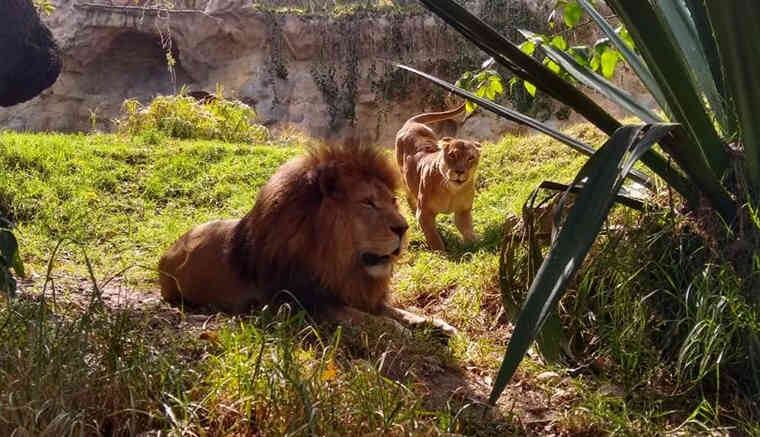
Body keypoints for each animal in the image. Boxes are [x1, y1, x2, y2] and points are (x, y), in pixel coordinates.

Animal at [158, 144, 456, 335]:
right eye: (368, 203)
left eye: (393, 201)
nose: (404, 228)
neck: (337, 263)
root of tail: (168, 250)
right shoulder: (299, 303)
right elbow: (362, 317)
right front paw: (398, 330)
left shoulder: (355, 292)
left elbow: (396, 311)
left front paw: (433, 324)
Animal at [395, 104, 481, 251]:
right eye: (452, 155)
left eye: (471, 158)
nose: (459, 171)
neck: (452, 191)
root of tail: (412, 123)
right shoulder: (424, 213)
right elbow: (434, 238)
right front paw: (441, 253)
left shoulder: (463, 211)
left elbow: (468, 231)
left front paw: (474, 247)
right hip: (404, 176)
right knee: (409, 197)